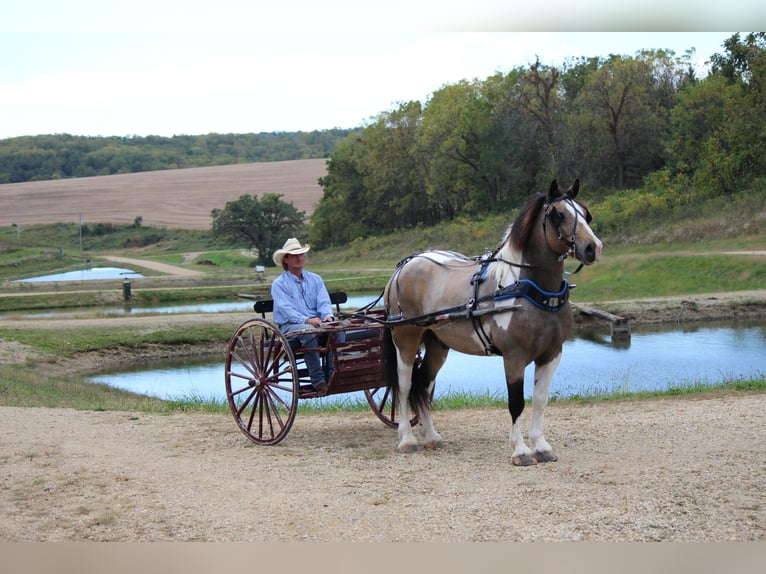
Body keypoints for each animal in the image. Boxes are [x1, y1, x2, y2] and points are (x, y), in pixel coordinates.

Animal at [384, 180, 608, 468]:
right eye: (559, 214)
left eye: (586, 213)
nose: (593, 247)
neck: (530, 290)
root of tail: (406, 265)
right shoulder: (514, 357)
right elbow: (516, 402)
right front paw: (521, 451)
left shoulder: (551, 354)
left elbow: (540, 400)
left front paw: (541, 446)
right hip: (406, 340)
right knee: (404, 386)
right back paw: (407, 440)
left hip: (437, 345)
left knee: (423, 385)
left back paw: (432, 437)